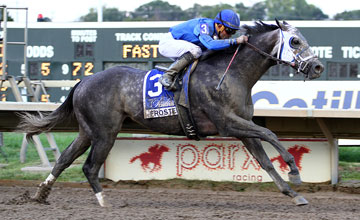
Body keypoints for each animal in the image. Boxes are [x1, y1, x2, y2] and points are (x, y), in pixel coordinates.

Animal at [17, 20, 324, 206]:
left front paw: (293, 193)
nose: (318, 67)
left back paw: (41, 193)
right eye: (295, 41)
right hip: (105, 132)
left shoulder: (242, 126)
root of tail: (84, 80)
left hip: (87, 130)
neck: (231, 73)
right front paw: (295, 171)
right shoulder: (227, 123)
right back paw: (104, 202)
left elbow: (264, 160)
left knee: (64, 159)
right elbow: (270, 133)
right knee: (89, 166)